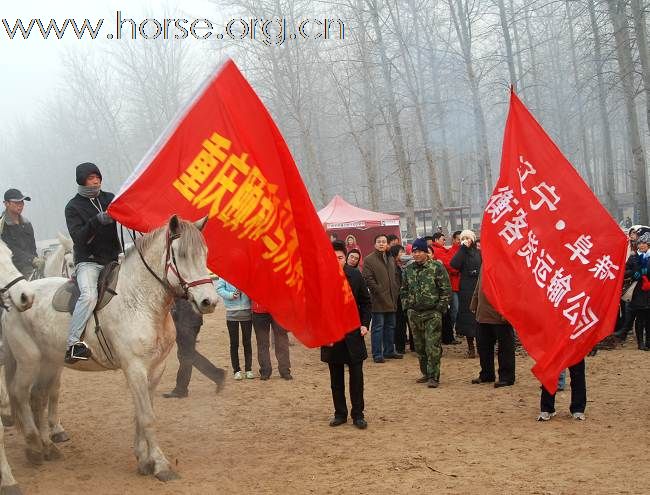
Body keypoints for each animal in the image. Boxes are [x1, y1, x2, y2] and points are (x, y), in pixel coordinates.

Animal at [3, 216, 218, 480]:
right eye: (183, 255)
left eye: (205, 253)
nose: (209, 302)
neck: (139, 301)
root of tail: (20, 296)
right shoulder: (135, 369)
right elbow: (147, 418)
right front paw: (160, 464)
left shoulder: (155, 369)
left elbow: (141, 414)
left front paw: (143, 459)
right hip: (28, 360)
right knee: (20, 393)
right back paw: (33, 447)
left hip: (50, 363)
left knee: (38, 397)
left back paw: (48, 447)